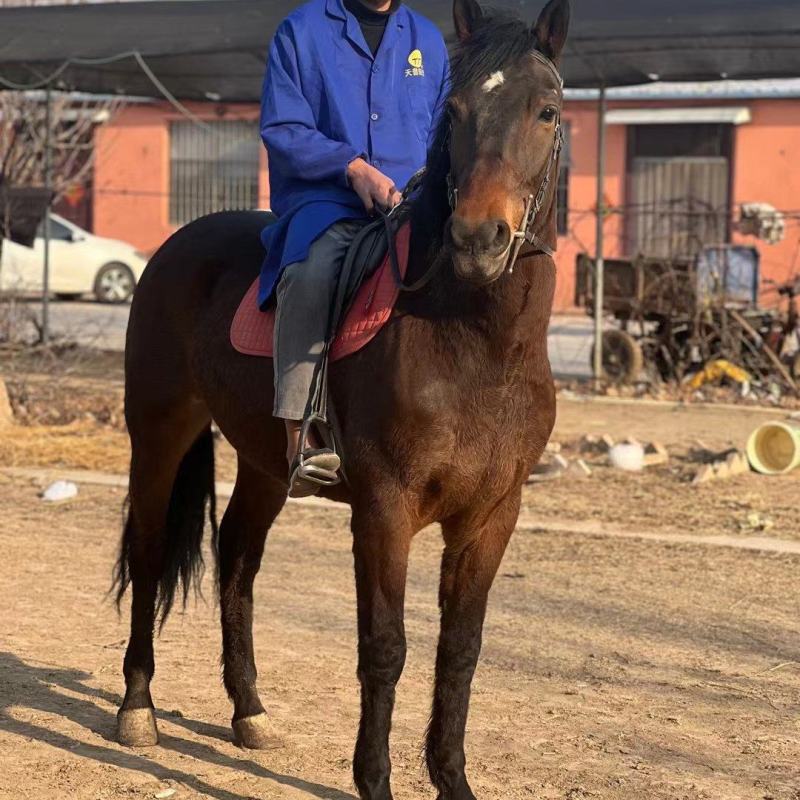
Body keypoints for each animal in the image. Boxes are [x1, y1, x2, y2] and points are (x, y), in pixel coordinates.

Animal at [113, 0, 570, 797]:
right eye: (454, 111)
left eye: (545, 109)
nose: (478, 238)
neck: (474, 342)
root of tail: (176, 246)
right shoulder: (386, 509)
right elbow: (385, 646)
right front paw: (375, 780)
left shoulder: (491, 517)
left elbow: (461, 649)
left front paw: (452, 780)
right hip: (160, 434)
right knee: (148, 549)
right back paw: (138, 706)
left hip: (266, 464)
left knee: (237, 559)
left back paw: (250, 711)